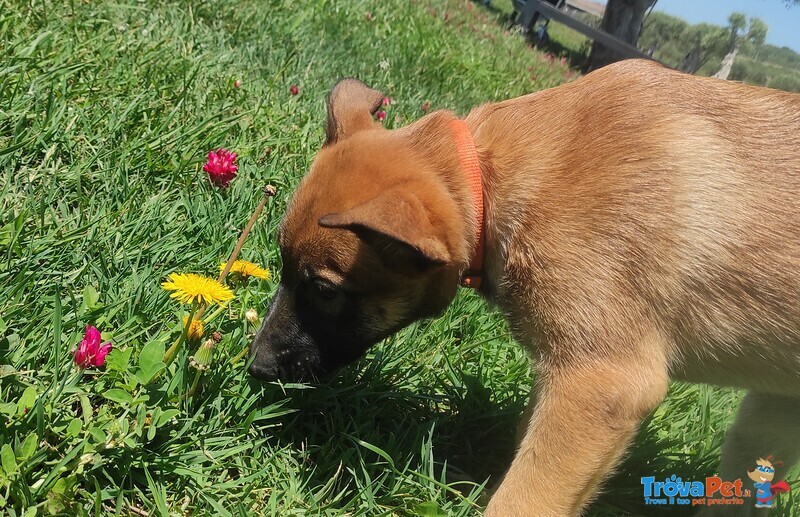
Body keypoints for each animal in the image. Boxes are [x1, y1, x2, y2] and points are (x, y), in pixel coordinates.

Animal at [250, 59, 800, 512]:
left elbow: (525, 497)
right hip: (767, 410)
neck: (491, 178)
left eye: (325, 292)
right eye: (282, 267)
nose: (254, 368)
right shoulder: (564, 380)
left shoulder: (602, 385)